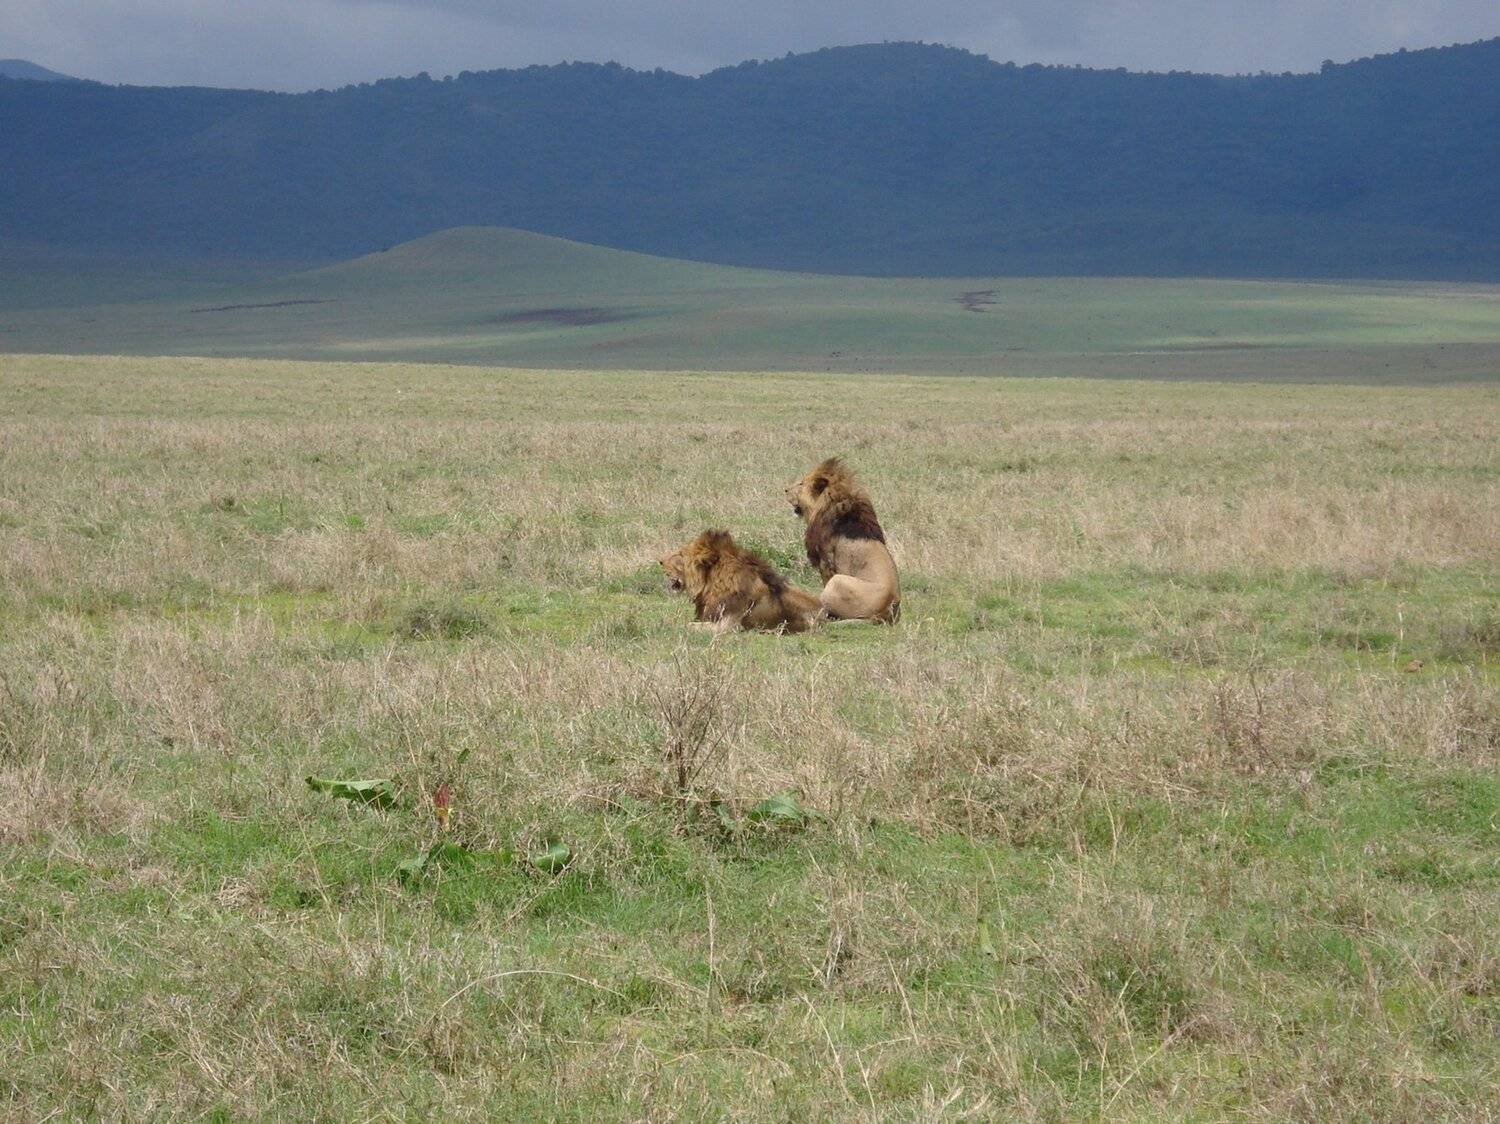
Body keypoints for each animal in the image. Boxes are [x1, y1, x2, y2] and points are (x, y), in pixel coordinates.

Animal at [659, 530, 821, 634]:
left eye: (680, 554)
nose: (660, 561)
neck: (710, 585)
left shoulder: (727, 625)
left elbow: (686, 624)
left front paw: (666, 624)